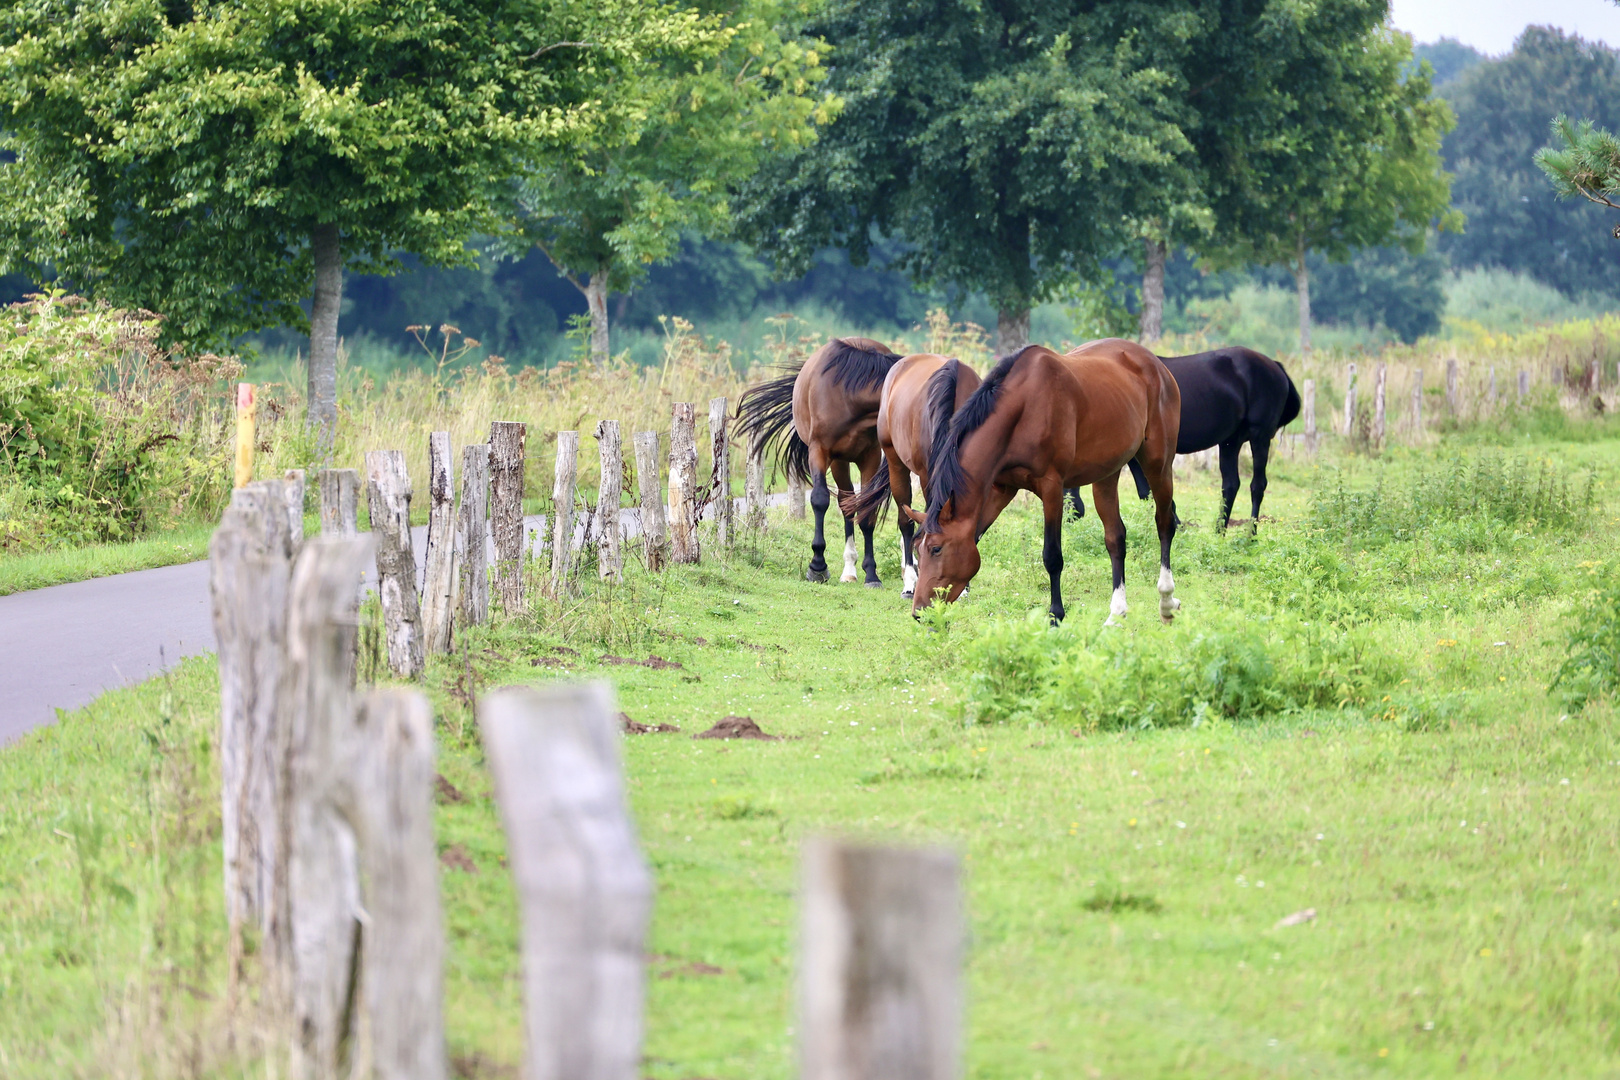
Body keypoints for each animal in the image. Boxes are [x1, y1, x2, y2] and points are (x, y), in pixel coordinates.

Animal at [738, 341, 907, 586]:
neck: (849, 398)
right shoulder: (819, 451)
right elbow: (819, 500)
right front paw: (817, 566)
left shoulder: (871, 456)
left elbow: (867, 511)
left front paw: (872, 574)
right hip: (838, 461)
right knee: (846, 502)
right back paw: (848, 570)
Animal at [907, 338, 1185, 625]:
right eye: (916, 549)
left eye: (936, 549)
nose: (920, 612)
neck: (1022, 409)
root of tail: (1154, 363)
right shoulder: (1001, 489)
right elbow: (976, 535)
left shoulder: (1052, 488)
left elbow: (1052, 556)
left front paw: (1055, 616)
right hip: (1107, 474)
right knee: (1115, 538)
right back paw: (1116, 613)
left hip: (1158, 463)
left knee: (1164, 524)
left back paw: (1166, 600)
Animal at [1062, 348, 1302, 531]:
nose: (1066, 519)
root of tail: (1275, 366)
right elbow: (1146, 492)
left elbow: (1151, 491)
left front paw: (1176, 525)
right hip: (1230, 441)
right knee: (1230, 484)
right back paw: (1220, 531)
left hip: (1260, 438)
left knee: (1257, 485)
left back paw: (1250, 534)